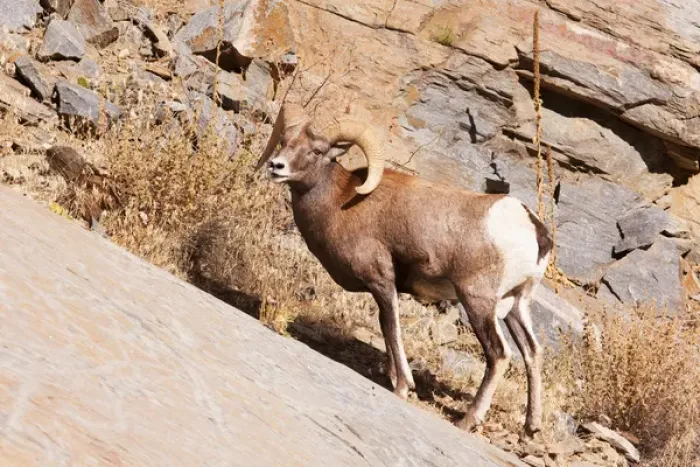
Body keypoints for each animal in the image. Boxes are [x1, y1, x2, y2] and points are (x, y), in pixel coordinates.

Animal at [255, 104, 553, 436]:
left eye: (317, 151)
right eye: (285, 141)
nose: (276, 166)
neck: (340, 202)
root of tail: (535, 230)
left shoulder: (382, 281)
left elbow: (391, 327)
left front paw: (402, 386)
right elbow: (385, 328)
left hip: (478, 302)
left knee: (499, 354)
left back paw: (467, 420)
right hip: (516, 306)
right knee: (532, 352)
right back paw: (531, 427)